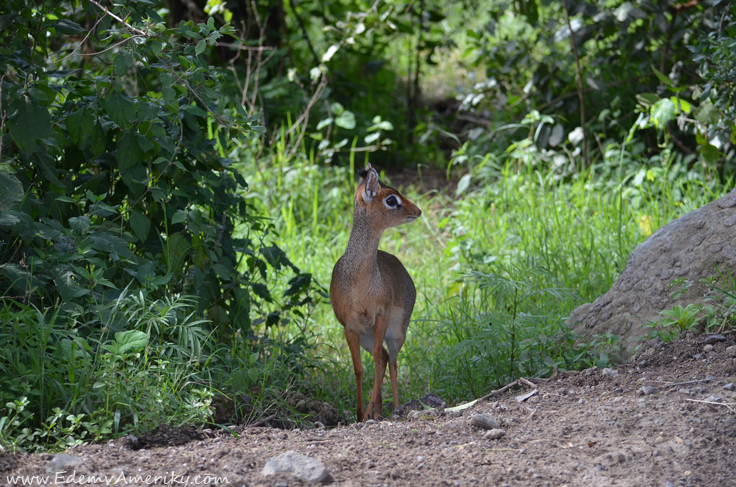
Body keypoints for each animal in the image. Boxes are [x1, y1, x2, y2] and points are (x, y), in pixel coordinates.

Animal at [330, 165, 422, 424]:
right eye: (391, 199)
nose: (417, 210)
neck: (360, 281)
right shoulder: (350, 327)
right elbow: (359, 369)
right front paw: (361, 414)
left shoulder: (380, 316)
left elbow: (379, 364)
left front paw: (368, 412)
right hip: (367, 336)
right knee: (382, 356)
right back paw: (378, 411)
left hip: (397, 332)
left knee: (391, 361)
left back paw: (396, 408)